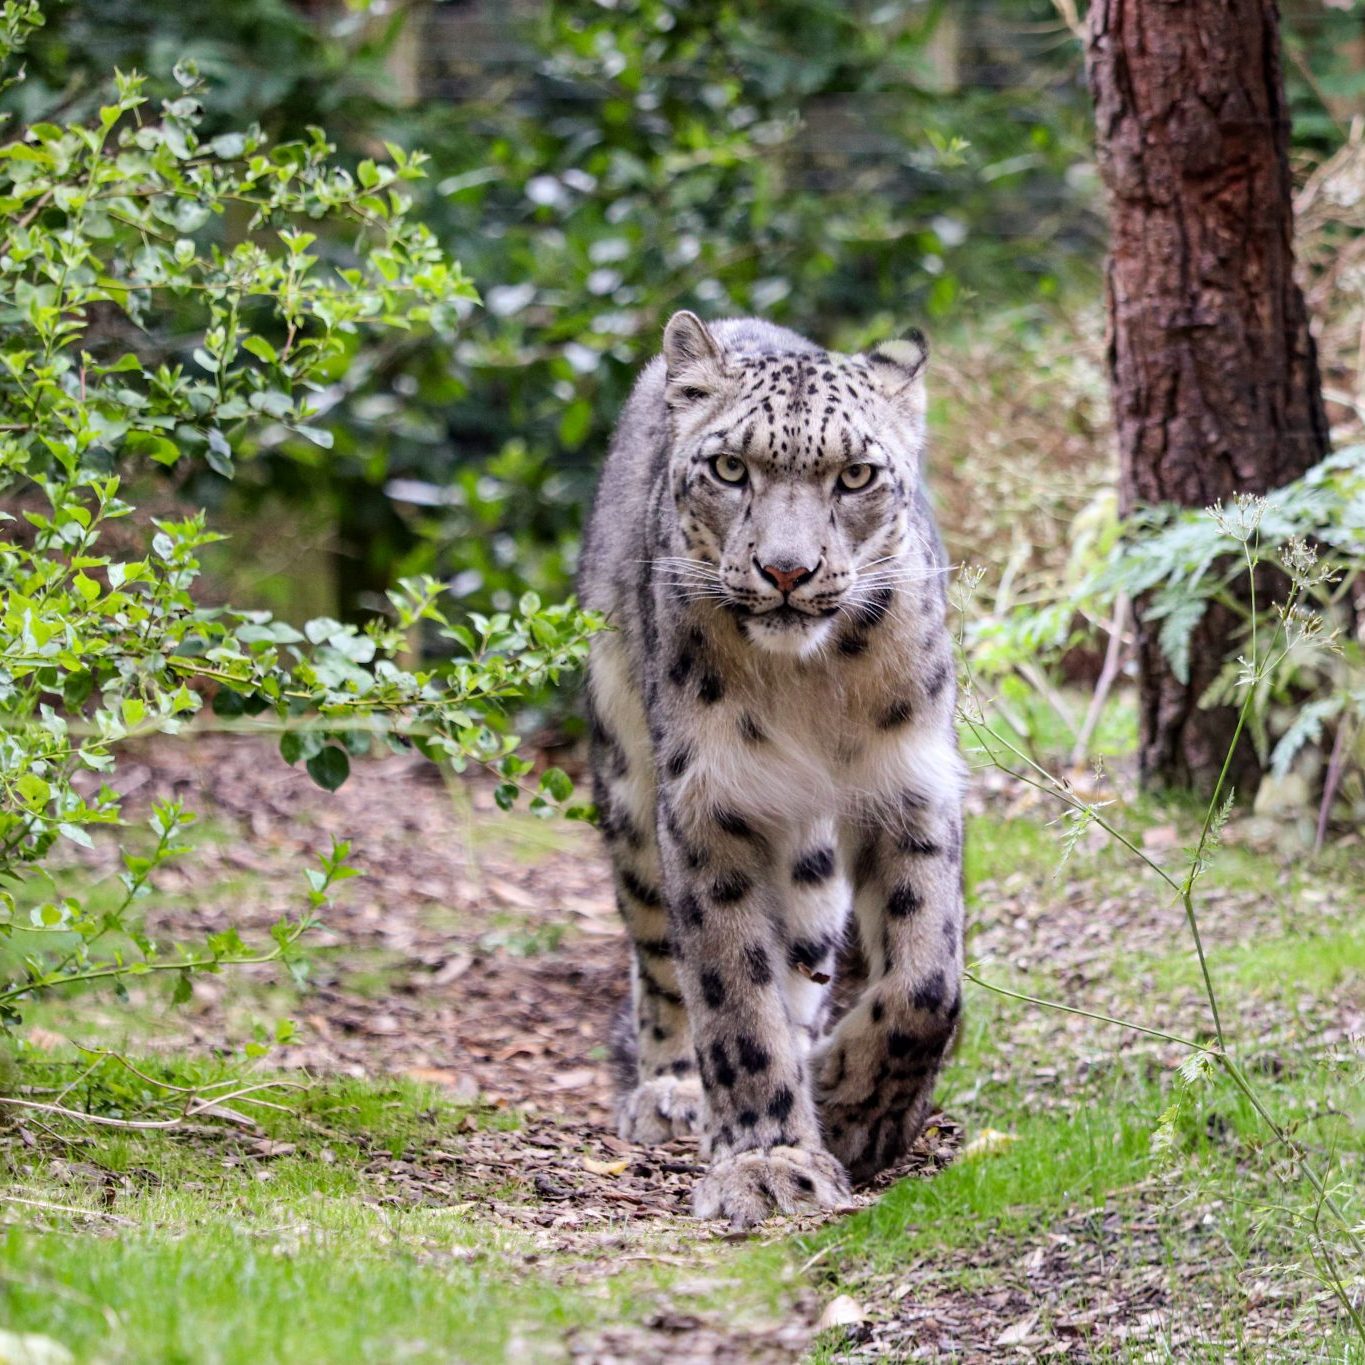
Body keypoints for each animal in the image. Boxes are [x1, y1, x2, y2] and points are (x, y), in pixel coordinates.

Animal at [581, 313, 966, 1233]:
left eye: (855, 474)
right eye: (730, 467)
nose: (786, 571)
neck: (808, 686)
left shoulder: (911, 783)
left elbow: (927, 978)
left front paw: (856, 1110)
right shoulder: (707, 804)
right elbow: (730, 988)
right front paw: (766, 1161)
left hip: (810, 854)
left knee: (800, 950)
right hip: (630, 778)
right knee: (661, 955)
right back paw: (674, 1090)